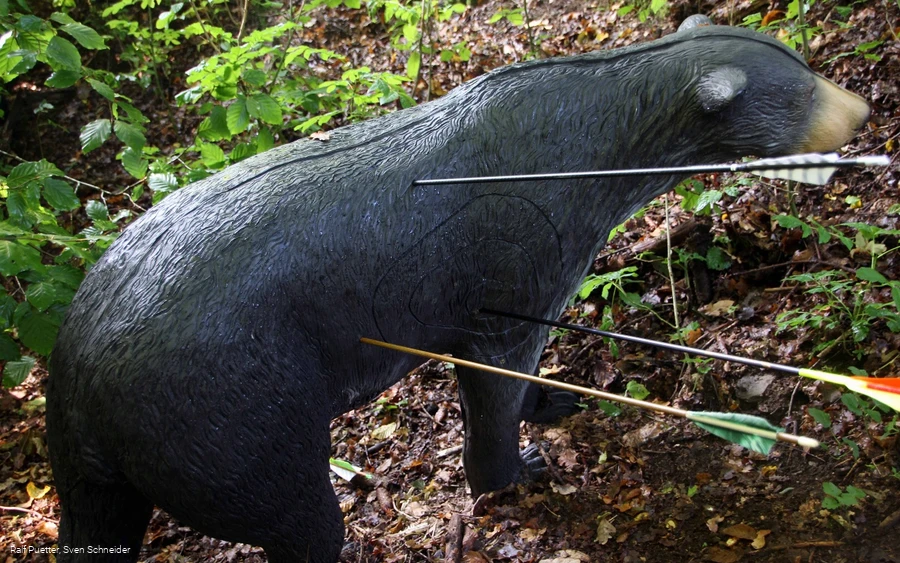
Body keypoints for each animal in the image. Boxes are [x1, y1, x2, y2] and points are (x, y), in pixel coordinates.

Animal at [46, 20, 869, 563]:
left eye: (803, 62)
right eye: (804, 92)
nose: (862, 109)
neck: (598, 153)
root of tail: (79, 365)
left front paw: (555, 399)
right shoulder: (520, 240)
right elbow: (498, 359)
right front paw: (518, 467)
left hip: (100, 452)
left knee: (97, 521)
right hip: (218, 404)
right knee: (294, 512)